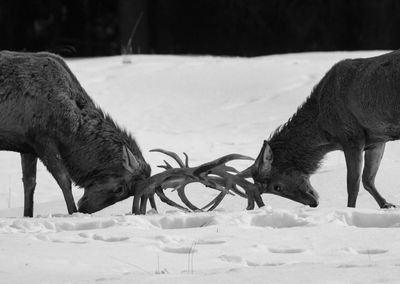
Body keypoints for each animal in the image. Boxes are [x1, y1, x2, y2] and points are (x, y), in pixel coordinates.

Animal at [0, 51, 255, 216]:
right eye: (120, 188)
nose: (86, 209)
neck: (71, 128)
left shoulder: (26, 144)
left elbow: (29, 183)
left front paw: (28, 215)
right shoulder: (42, 137)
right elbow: (63, 179)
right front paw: (72, 213)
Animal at [250, 49, 400, 209]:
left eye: (276, 187)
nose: (312, 203)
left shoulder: (352, 137)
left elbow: (353, 184)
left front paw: (350, 209)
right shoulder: (377, 139)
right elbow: (368, 180)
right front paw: (387, 204)